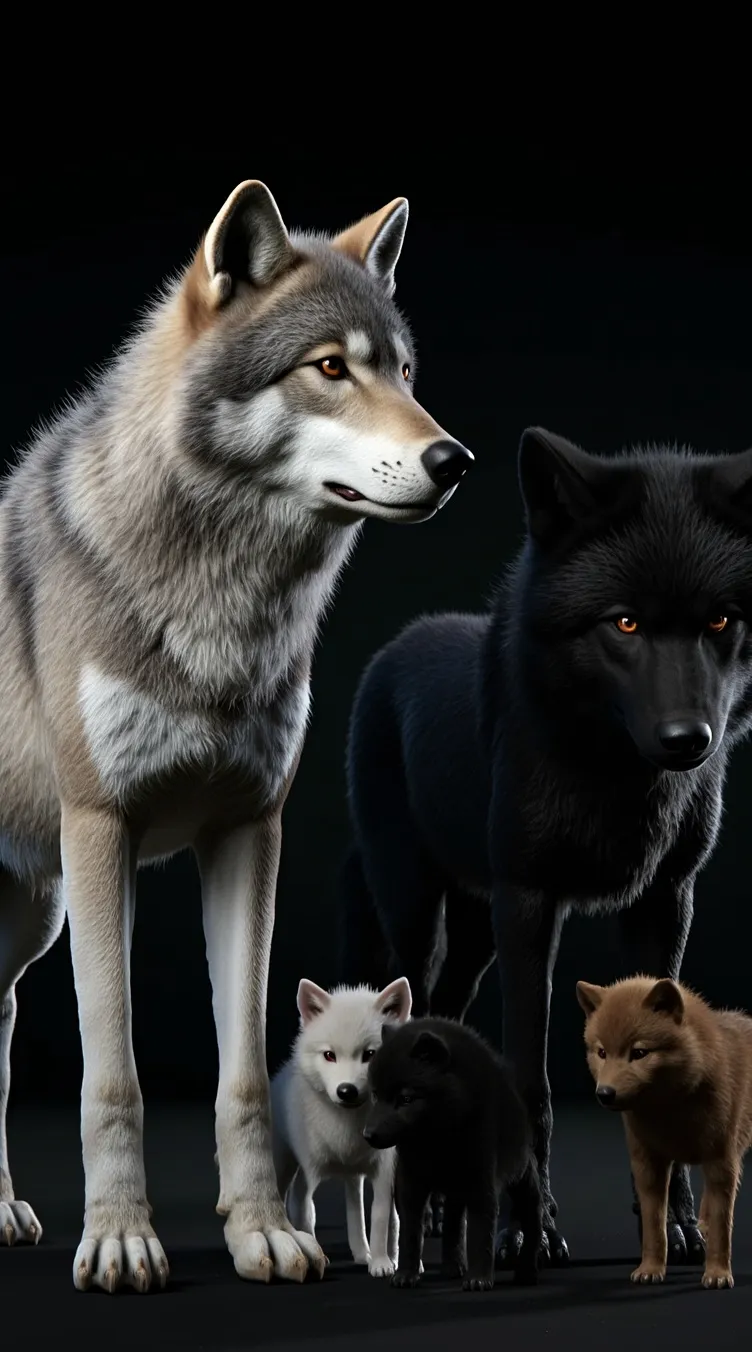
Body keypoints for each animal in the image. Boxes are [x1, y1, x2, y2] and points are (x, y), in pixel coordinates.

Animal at [270, 976, 411, 1276]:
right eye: (329, 1055)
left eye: (370, 1054)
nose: (346, 1091)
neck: (347, 1133)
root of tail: (280, 1074)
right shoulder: (307, 1178)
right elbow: (306, 1218)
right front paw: (315, 1258)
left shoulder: (383, 1174)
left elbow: (380, 1218)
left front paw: (380, 1263)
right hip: (284, 1166)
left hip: (355, 1177)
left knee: (362, 1211)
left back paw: (367, 1255)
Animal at [363, 1015, 543, 1290]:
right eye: (375, 1094)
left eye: (405, 1099)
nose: (368, 1135)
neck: (438, 1139)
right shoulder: (411, 1180)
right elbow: (411, 1232)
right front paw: (405, 1274)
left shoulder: (481, 1179)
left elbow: (480, 1231)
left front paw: (478, 1279)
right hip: (457, 1189)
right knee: (453, 1224)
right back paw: (452, 1267)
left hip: (522, 1180)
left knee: (533, 1219)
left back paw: (527, 1273)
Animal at [577, 975, 752, 1289]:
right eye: (601, 1053)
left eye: (639, 1053)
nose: (604, 1094)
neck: (672, 1109)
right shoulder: (649, 1166)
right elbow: (654, 1226)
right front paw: (650, 1269)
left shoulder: (722, 1162)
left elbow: (723, 1227)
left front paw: (718, 1273)